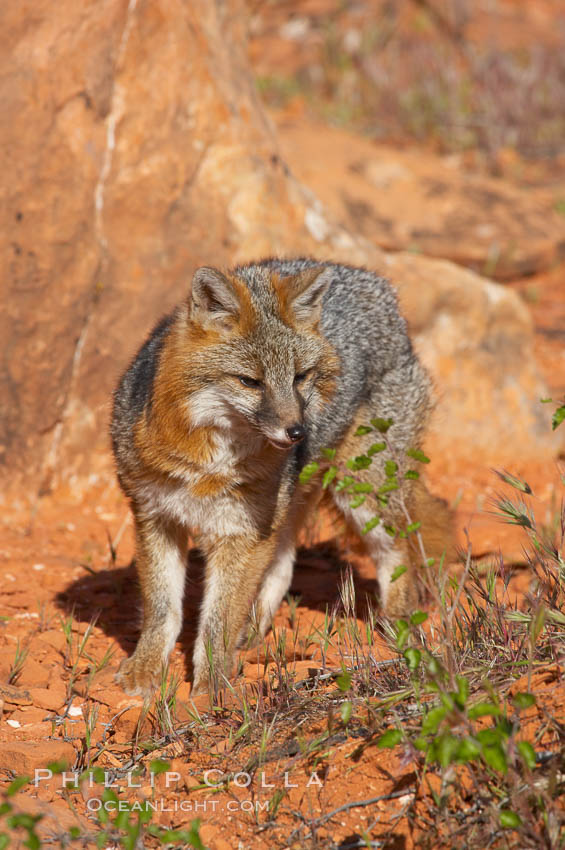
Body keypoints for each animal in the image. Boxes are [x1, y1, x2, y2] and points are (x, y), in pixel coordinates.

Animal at [112, 255, 452, 692]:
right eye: (250, 382)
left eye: (299, 377)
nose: (299, 432)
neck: (207, 462)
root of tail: (376, 285)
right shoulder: (155, 516)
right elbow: (161, 609)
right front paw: (145, 668)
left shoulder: (240, 532)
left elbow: (217, 622)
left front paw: (212, 687)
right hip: (289, 507)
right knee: (285, 565)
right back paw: (255, 631)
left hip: (361, 494)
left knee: (398, 552)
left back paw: (400, 627)